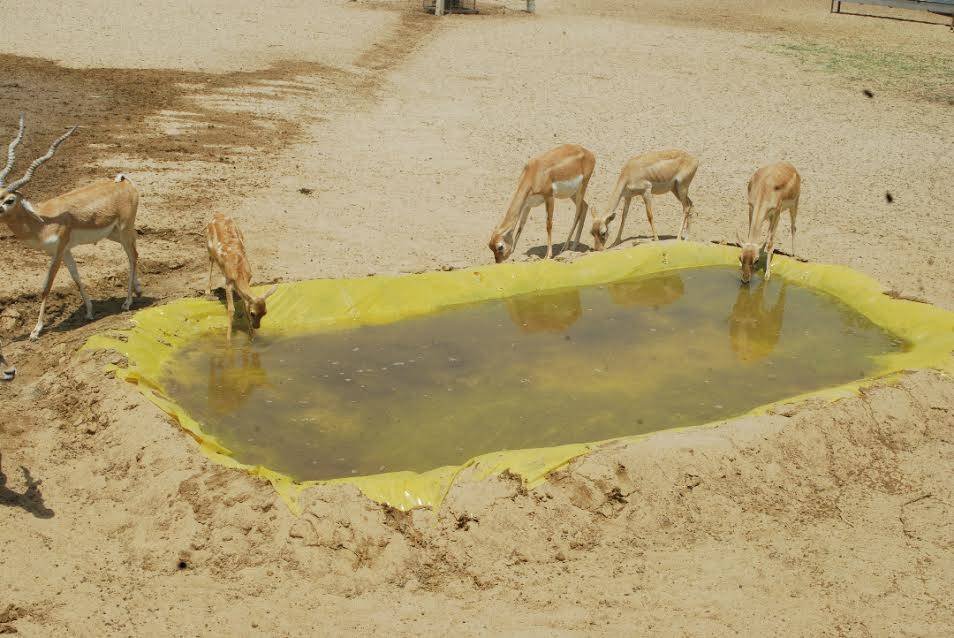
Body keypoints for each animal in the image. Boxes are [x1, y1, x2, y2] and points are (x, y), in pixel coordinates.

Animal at [0, 115, 142, 340]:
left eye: (10, 200)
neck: (41, 222)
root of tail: (124, 182)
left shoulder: (57, 251)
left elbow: (46, 286)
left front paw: (36, 330)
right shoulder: (66, 250)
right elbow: (76, 277)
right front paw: (90, 312)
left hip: (123, 229)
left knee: (132, 255)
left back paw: (127, 303)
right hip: (115, 234)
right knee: (135, 250)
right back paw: (138, 290)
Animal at [205, 212, 277, 342]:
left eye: (265, 312)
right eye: (253, 313)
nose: (257, 326)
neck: (240, 273)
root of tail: (217, 214)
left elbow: (244, 306)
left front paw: (252, 337)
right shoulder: (228, 282)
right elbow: (231, 309)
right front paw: (228, 340)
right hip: (208, 244)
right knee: (210, 260)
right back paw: (207, 291)